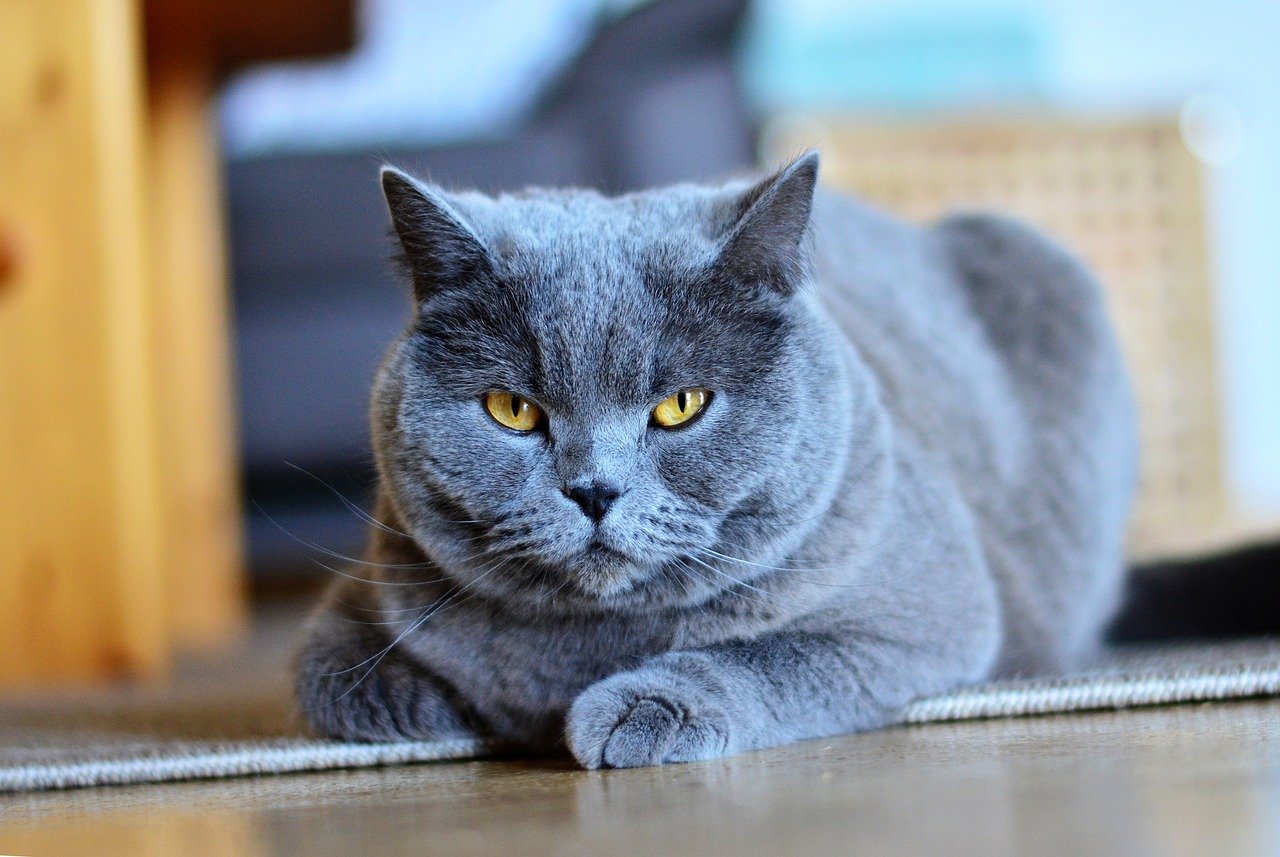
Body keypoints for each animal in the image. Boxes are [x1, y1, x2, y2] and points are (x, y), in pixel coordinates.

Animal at [294, 154, 1136, 772]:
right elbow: (331, 678)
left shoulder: (928, 612)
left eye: (681, 405)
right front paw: (437, 704)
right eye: (513, 410)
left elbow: (769, 653)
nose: (594, 489)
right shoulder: (365, 588)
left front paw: (641, 710)